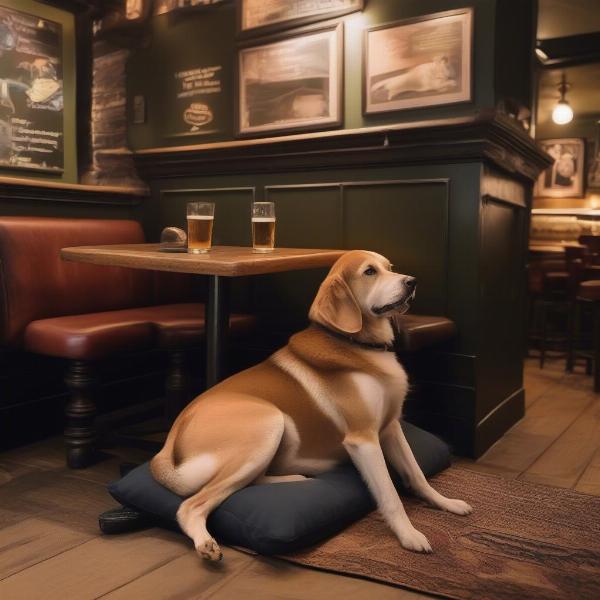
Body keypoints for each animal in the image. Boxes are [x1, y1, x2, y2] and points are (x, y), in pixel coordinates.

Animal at [151, 251, 474, 560]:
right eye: (370, 271)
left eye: (390, 267)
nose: (412, 281)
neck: (359, 347)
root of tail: (170, 441)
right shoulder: (363, 440)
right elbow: (390, 494)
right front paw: (409, 535)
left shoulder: (390, 428)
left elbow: (417, 474)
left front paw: (445, 502)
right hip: (269, 421)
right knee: (191, 505)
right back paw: (206, 543)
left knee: (247, 482)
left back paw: (294, 478)